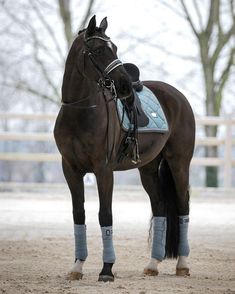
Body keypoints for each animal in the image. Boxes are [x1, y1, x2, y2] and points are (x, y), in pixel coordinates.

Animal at [54, 14, 196, 282]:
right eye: (99, 50)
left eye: (115, 49)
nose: (124, 85)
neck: (80, 111)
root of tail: (177, 96)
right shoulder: (70, 170)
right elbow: (79, 215)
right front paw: (77, 267)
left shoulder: (103, 170)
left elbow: (105, 215)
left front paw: (107, 269)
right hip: (148, 169)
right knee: (160, 208)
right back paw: (153, 264)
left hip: (179, 164)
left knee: (183, 205)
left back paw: (182, 264)